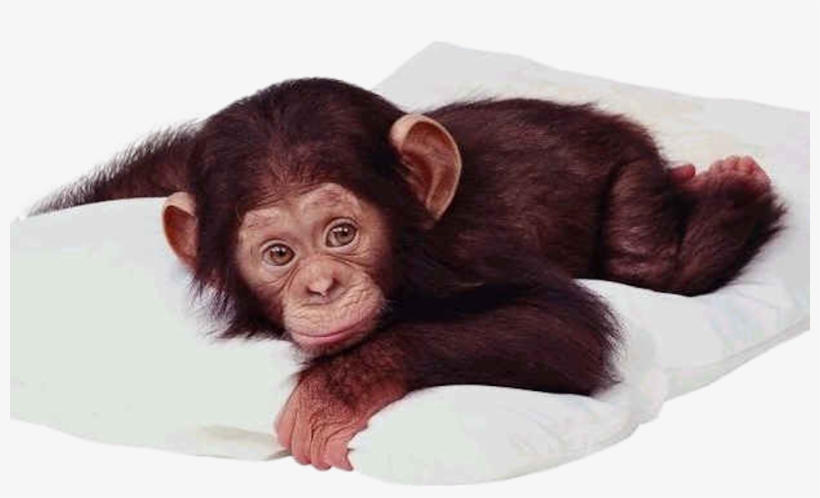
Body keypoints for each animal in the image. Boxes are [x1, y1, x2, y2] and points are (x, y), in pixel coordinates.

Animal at [31, 78, 785, 471]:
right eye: (279, 254)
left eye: (341, 234)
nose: (321, 287)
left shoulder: (462, 252)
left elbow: (560, 324)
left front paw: (337, 392)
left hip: (626, 165)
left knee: (648, 264)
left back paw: (733, 184)